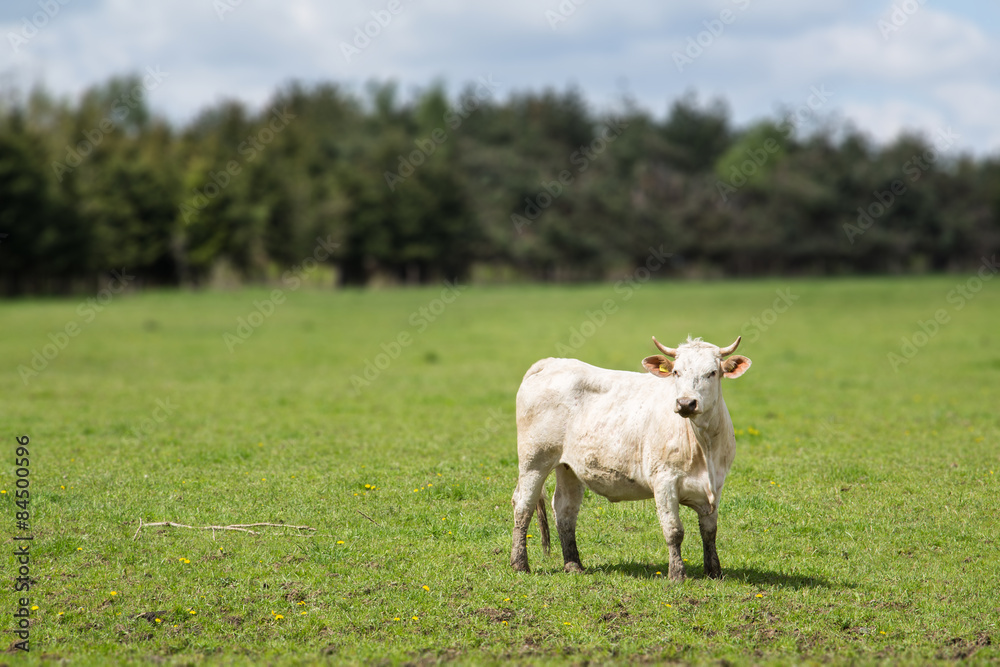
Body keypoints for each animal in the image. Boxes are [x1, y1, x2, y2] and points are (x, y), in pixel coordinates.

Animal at [509, 335, 751, 581]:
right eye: (676, 372)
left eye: (712, 372)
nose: (685, 403)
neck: (703, 446)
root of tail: (550, 363)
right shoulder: (664, 482)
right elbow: (674, 530)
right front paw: (677, 574)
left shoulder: (717, 484)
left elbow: (709, 531)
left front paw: (714, 572)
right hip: (534, 461)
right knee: (523, 505)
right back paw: (519, 564)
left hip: (569, 467)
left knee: (565, 510)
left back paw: (573, 564)